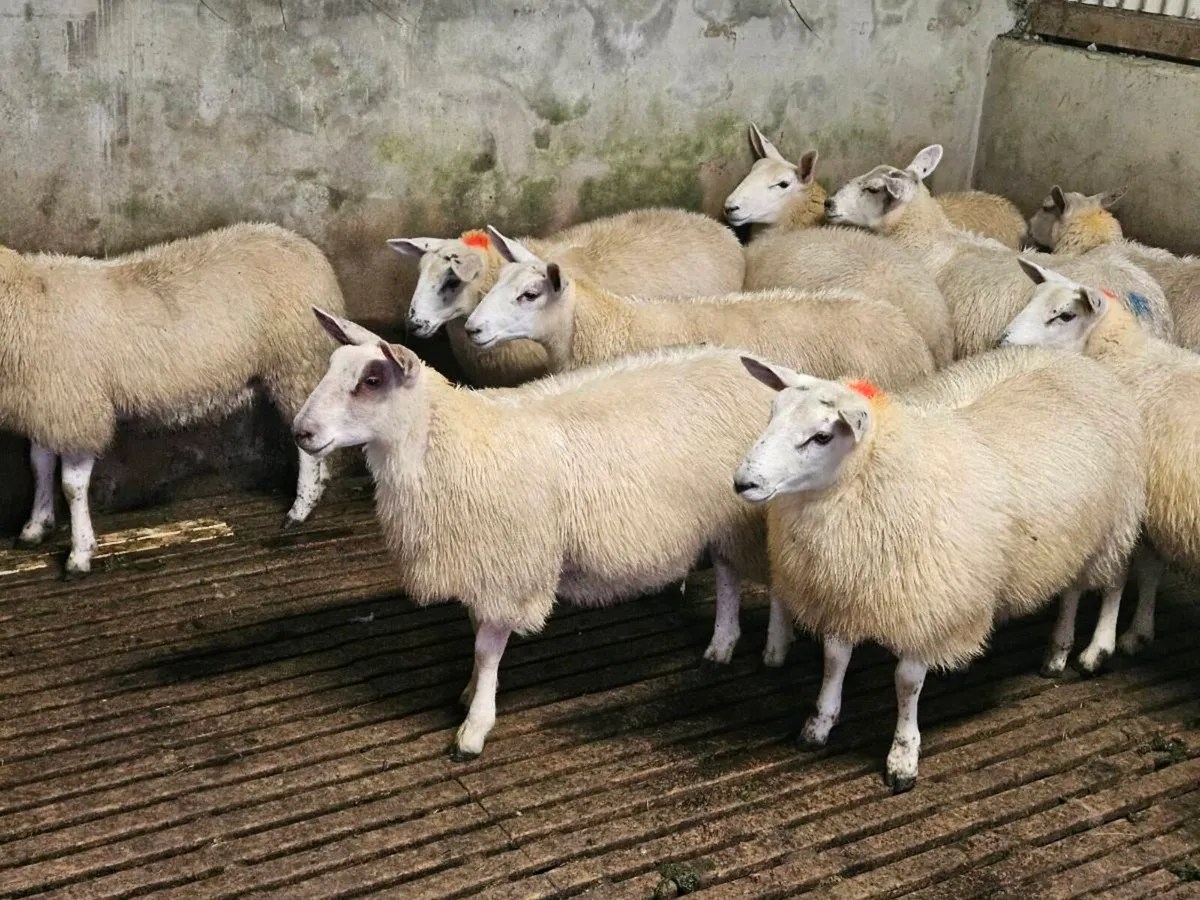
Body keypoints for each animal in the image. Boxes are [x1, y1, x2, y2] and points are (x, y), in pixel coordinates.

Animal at [2, 223, 346, 577]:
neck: (26, 296)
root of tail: (304, 247)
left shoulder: (79, 412)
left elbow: (72, 487)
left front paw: (80, 554)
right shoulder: (44, 407)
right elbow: (39, 466)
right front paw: (35, 528)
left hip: (296, 364)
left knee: (305, 444)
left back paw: (300, 509)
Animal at [293, 311, 796, 761]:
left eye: (372, 380)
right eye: (333, 366)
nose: (301, 432)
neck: (447, 443)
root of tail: (752, 368)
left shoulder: (511, 564)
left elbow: (486, 649)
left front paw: (474, 728)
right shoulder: (486, 563)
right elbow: (477, 637)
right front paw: (471, 692)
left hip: (754, 511)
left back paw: (773, 649)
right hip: (723, 517)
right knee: (728, 574)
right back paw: (721, 645)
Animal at [733, 347, 1145, 791]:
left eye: (822, 437)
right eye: (772, 412)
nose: (743, 482)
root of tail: (1080, 363)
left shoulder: (928, 608)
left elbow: (907, 681)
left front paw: (902, 757)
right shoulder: (843, 592)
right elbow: (834, 660)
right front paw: (820, 723)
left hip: (1115, 523)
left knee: (1115, 581)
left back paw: (1095, 652)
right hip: (1074, 537)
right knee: (1070, 589)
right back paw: (1056, 652)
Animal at [1001, 258, 1200, 661]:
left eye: (1065, 315)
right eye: (1031, 300)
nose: (1005, 343)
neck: (1122, 359)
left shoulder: (1120, 498)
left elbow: (1111, 577)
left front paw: (1093, 647)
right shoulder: (1152, 509)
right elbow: (1150, 570)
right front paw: (1138, 632)